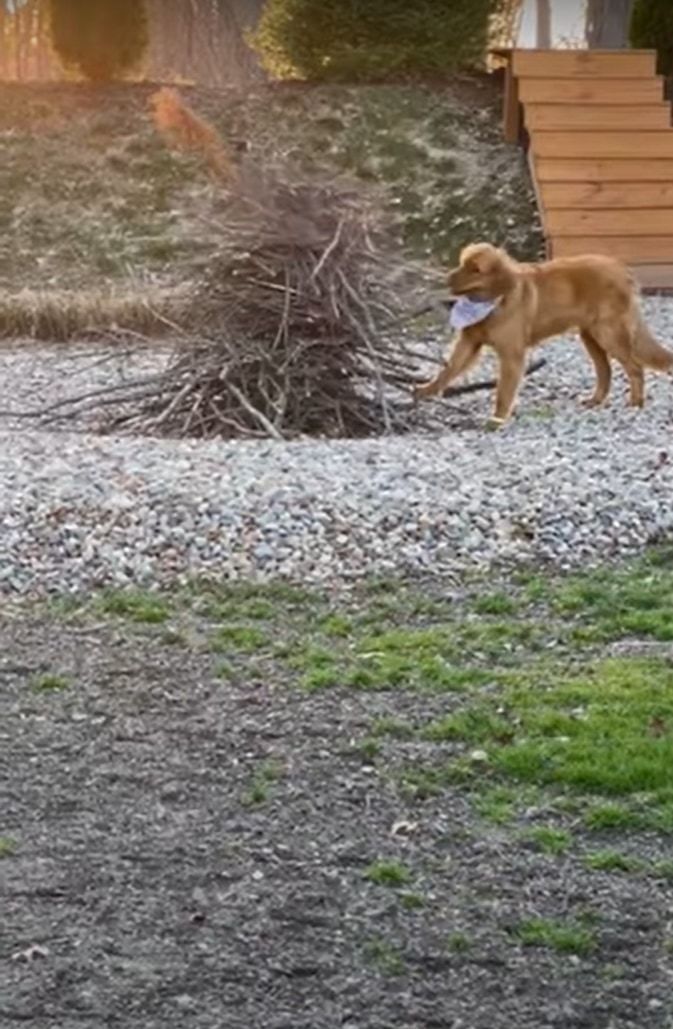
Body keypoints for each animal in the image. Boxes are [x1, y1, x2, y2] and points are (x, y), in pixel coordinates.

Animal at [415, 241, 673, 426]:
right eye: (462, 263)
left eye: (475, 269)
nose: (446, 278)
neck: (493, 301)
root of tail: (622, 269)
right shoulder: (469, 341)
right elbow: (448, 369)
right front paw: (427, 390)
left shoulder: (511, 354)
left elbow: (503, 391)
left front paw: (497, 419)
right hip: (590, 336)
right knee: (605, 372)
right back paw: (595, 400)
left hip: (608, 333)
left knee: (635, 368)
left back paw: (635, 402)